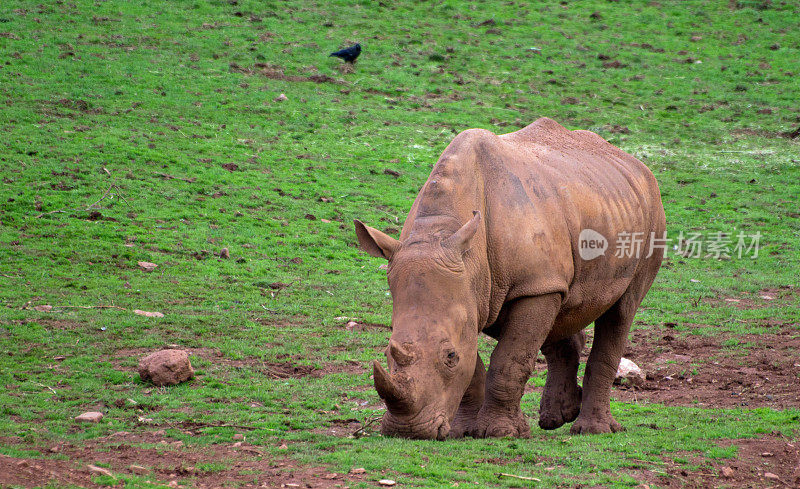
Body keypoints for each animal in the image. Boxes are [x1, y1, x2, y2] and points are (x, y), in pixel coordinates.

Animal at [354, 117, 664, 438]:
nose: (407, 431)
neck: (440, 231)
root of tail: (635, 163)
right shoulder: (476, 294)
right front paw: (463, 431)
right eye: (387, 354)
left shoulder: (532, 286)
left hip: (650, 217)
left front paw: (499, 432)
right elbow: (477, 361)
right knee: (561, 310)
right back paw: (557, 417)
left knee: (622, 311)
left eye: (450, 357)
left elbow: (508, 361)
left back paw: (592, 430)